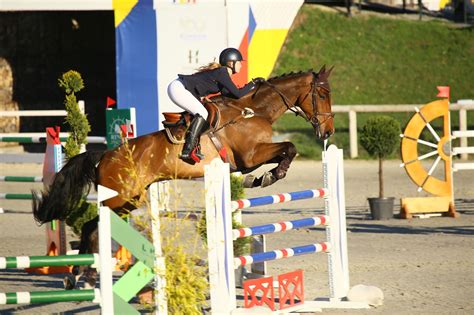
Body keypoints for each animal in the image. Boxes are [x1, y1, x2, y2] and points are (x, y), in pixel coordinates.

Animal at [31, 65, 336, 290]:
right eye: (322, 94)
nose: (328, 132)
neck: (253, 111)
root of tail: (105, 155)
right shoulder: (250, 156)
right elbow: (289, 148)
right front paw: (270, 176)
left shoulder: (249, 159)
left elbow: (287, 150)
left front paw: (264, 177)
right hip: (118, 198)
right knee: (90, 228)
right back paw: (80, 276)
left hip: (130, 200)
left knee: (94, 228)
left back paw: (81, 276)